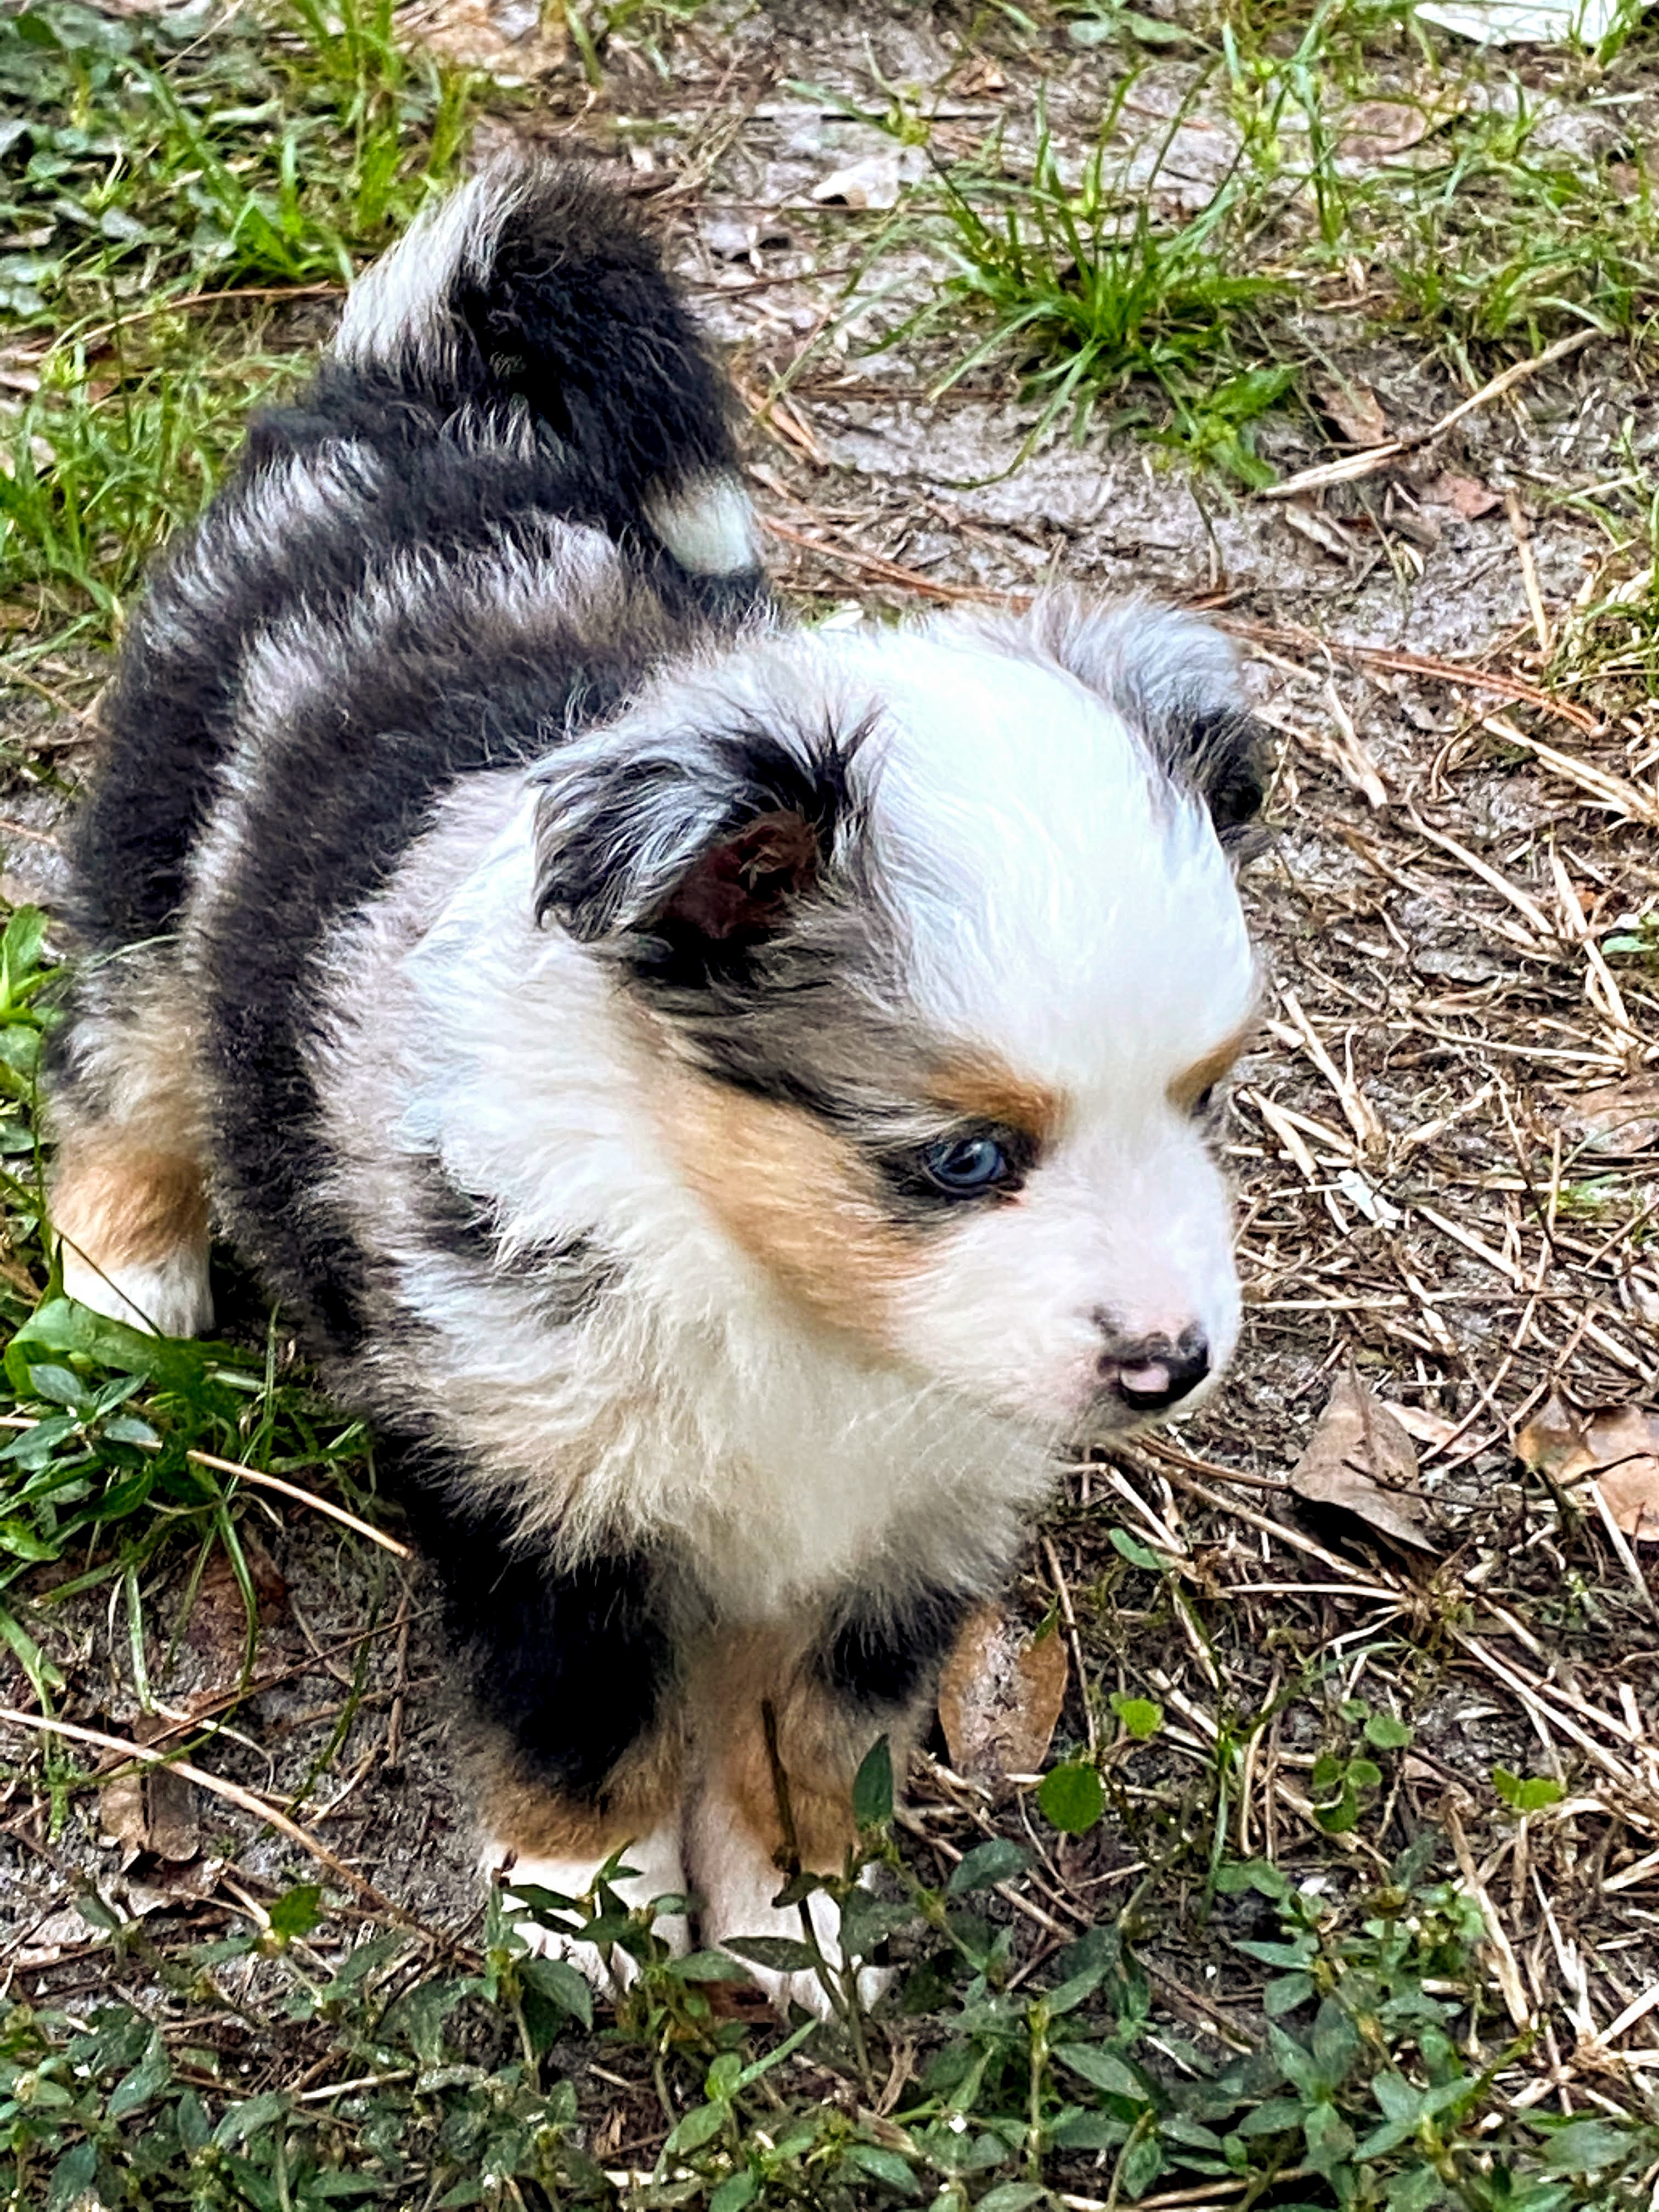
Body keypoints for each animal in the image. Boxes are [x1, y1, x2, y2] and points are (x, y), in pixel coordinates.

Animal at [47, 159, 1261, 2013]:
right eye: (965, 1159)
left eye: (1201, 1101)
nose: (1170, 1366)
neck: (776, 1298)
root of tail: (411, 395)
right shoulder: (535, 1485)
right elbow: (588, 1714)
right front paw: (584, 1908)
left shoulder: (910, 1538)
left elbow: (818, 1735)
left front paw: (797, 1918)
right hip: (158, 843)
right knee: (117, 1051)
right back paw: (123, 1276)